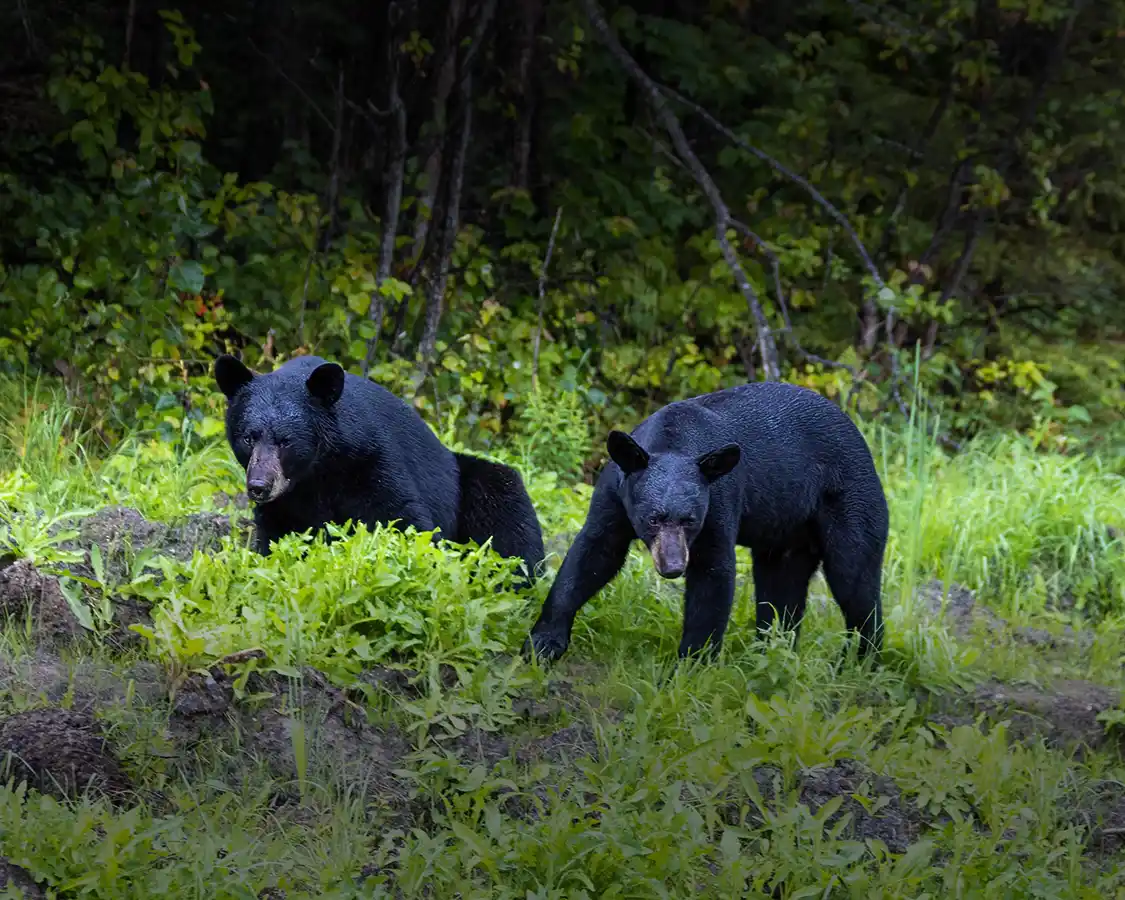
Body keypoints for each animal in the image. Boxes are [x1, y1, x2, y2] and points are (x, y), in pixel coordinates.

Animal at [213, 353, 545, 586]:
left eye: (286, 441)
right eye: (248, 437)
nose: (259, 486)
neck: (317, 473)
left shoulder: (371, 461)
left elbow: (404, 520)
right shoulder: (286, 503)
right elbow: (275, 537)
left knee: (508, 517)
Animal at [523, 381, 889, 663]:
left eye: (690, 520)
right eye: (653, 518)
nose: (672, 566)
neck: (675, 438)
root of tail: (860, 438)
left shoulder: (719, 501)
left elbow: (712, 575)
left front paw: (689, 665)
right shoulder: (614, 495)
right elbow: (593, 554)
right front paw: (543, 642)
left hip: (849, 498)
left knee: (854, 576)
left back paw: (858, 660)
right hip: (787, 529)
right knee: (780, 588)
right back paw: (769, 653)